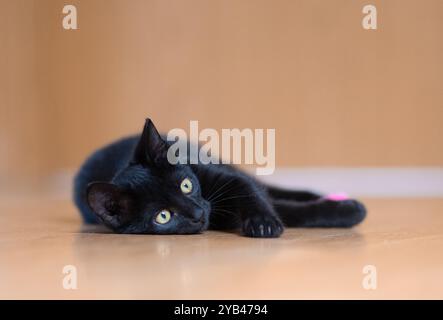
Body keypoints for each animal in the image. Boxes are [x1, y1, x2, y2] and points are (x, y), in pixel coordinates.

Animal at [74, 119, 368, 236]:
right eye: (163, 216)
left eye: (186, 185)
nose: (197, 213)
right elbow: (289, 211)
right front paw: (346, 211)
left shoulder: (223, 177)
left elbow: (251, 190)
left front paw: (262, 222)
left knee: (268, 187)